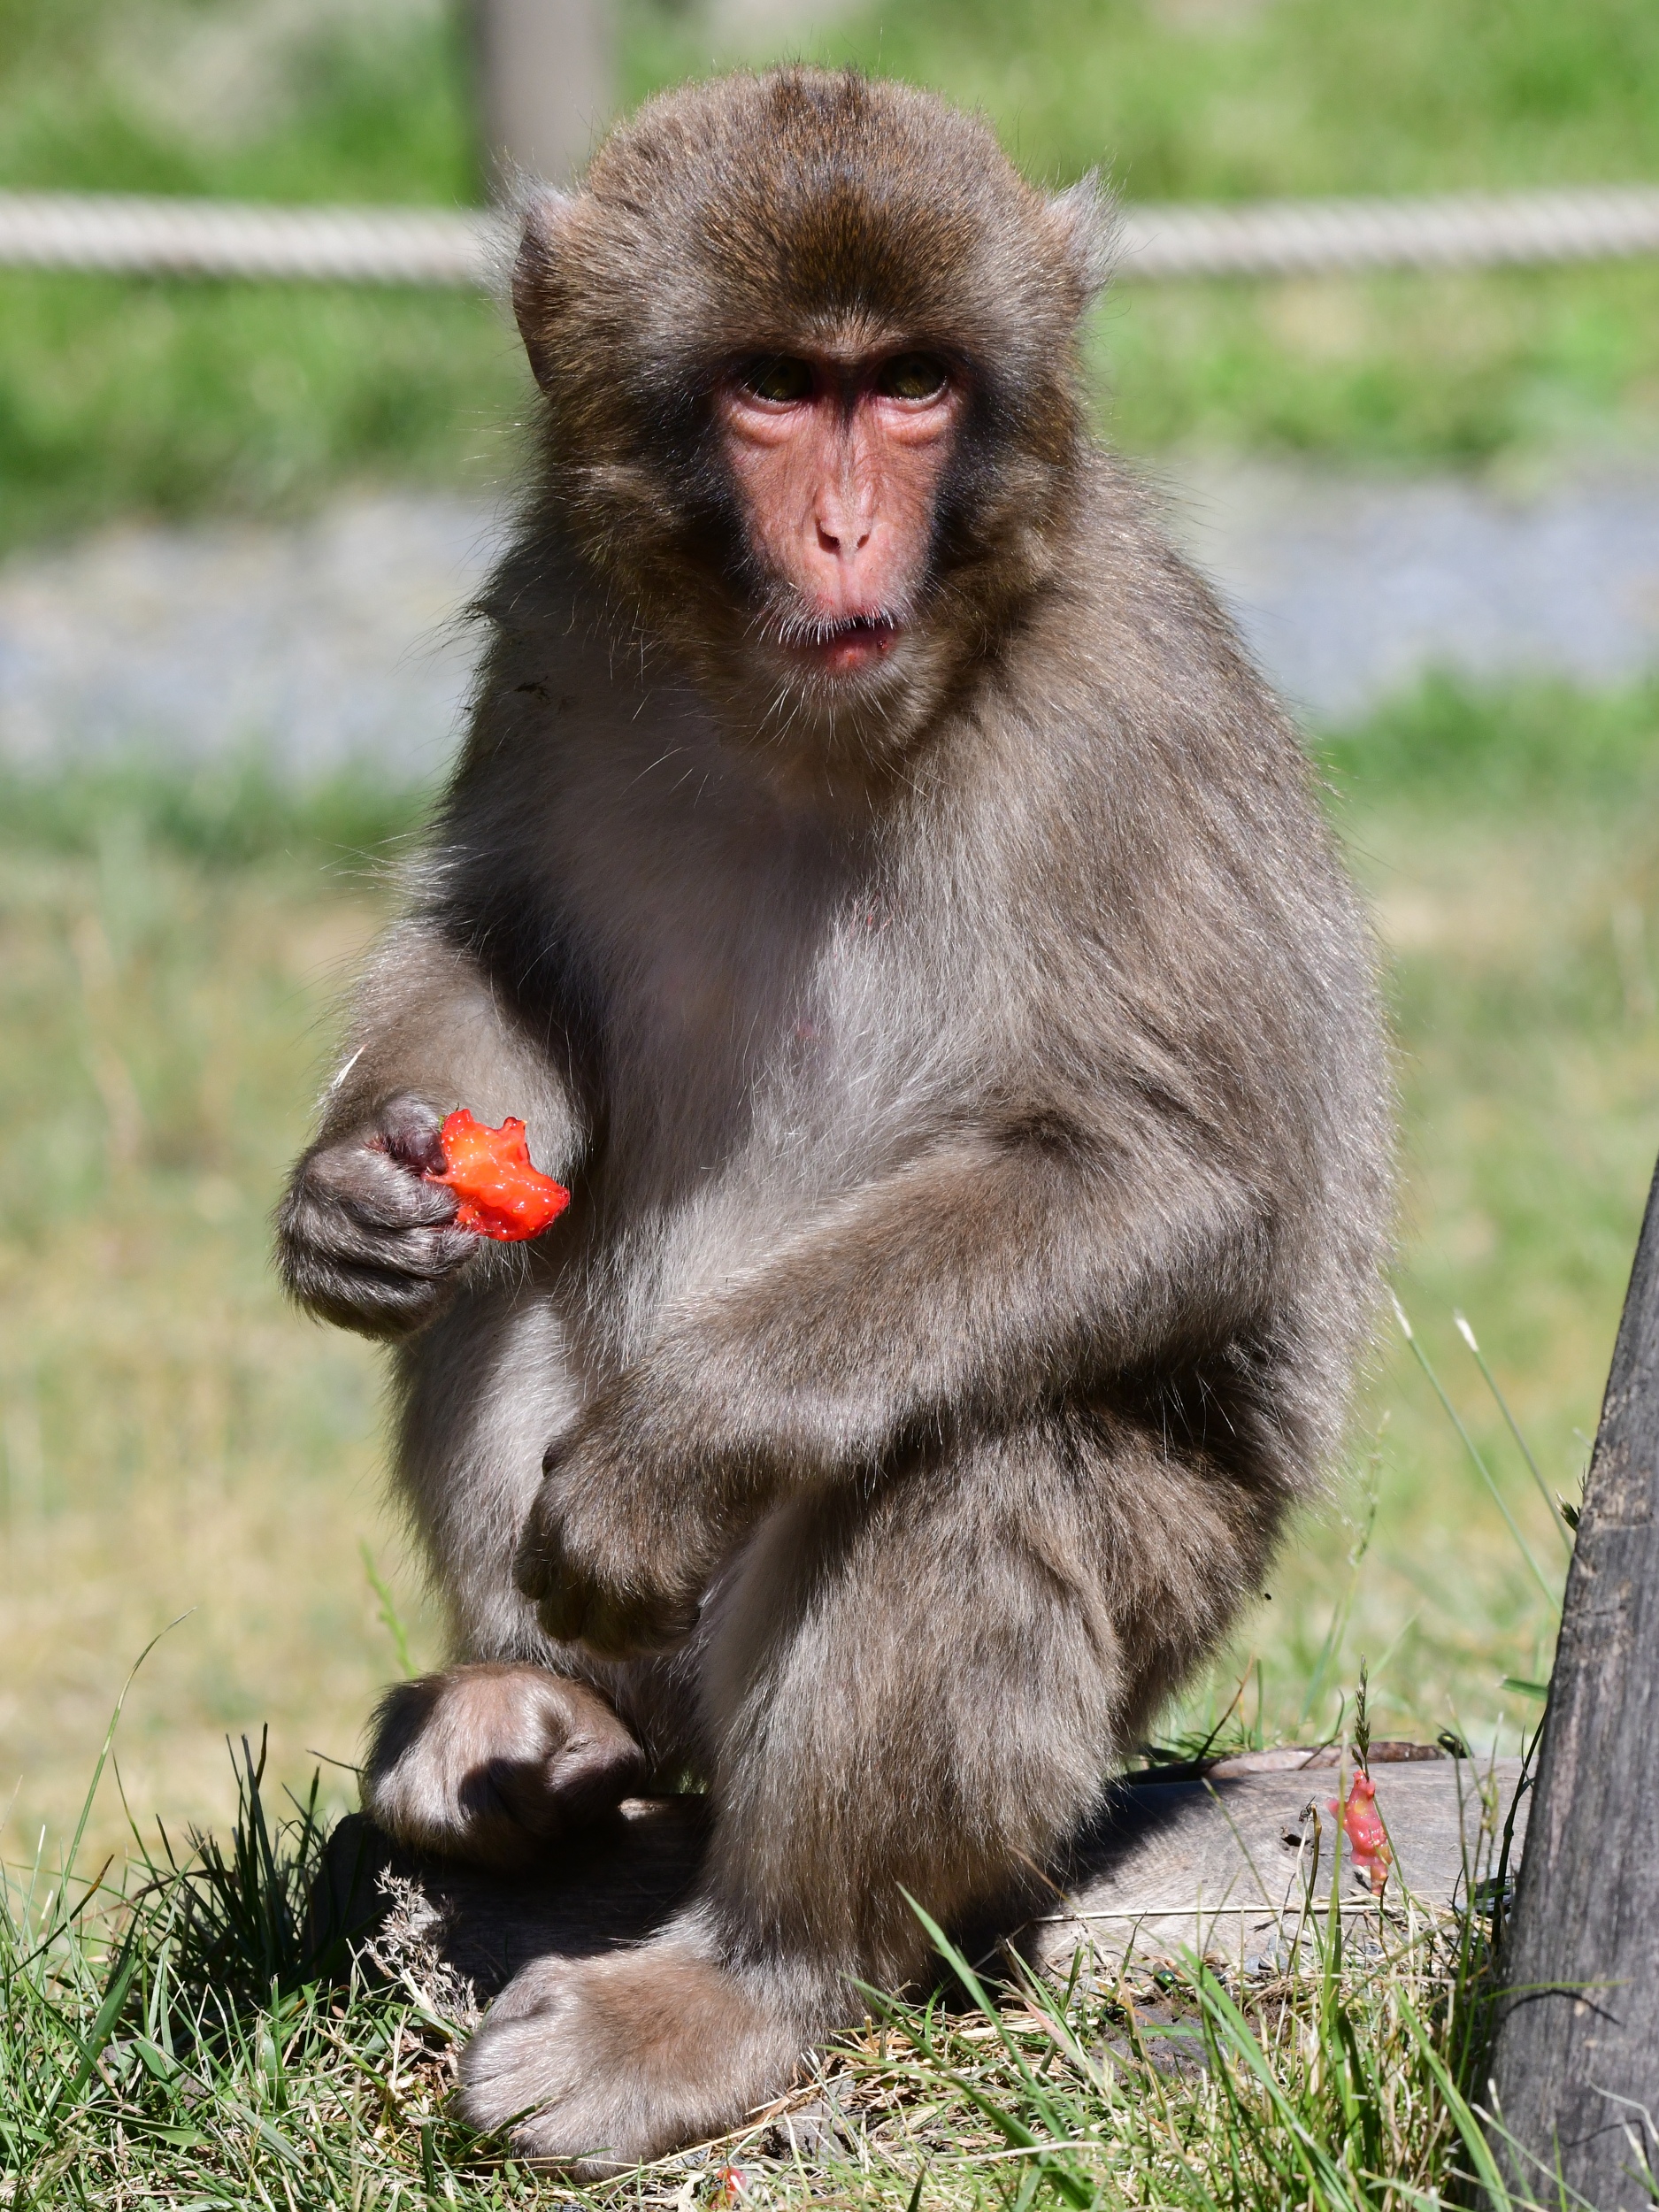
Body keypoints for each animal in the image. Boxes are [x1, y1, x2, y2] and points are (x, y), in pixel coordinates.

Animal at [277, 66, 1391, 2171]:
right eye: (780, 389)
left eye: (916, 386)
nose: (853, 524)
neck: (813, 723)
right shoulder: (560, 613)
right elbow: (506, 963)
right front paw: (355, 1192)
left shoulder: (1117, 723)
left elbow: (1181, 1180)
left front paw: (671, 1446)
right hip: (659, 1670)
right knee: (520, 1262)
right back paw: (532, 1710)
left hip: (1143, 1627)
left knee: (982, 1460)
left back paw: (749, 1975)